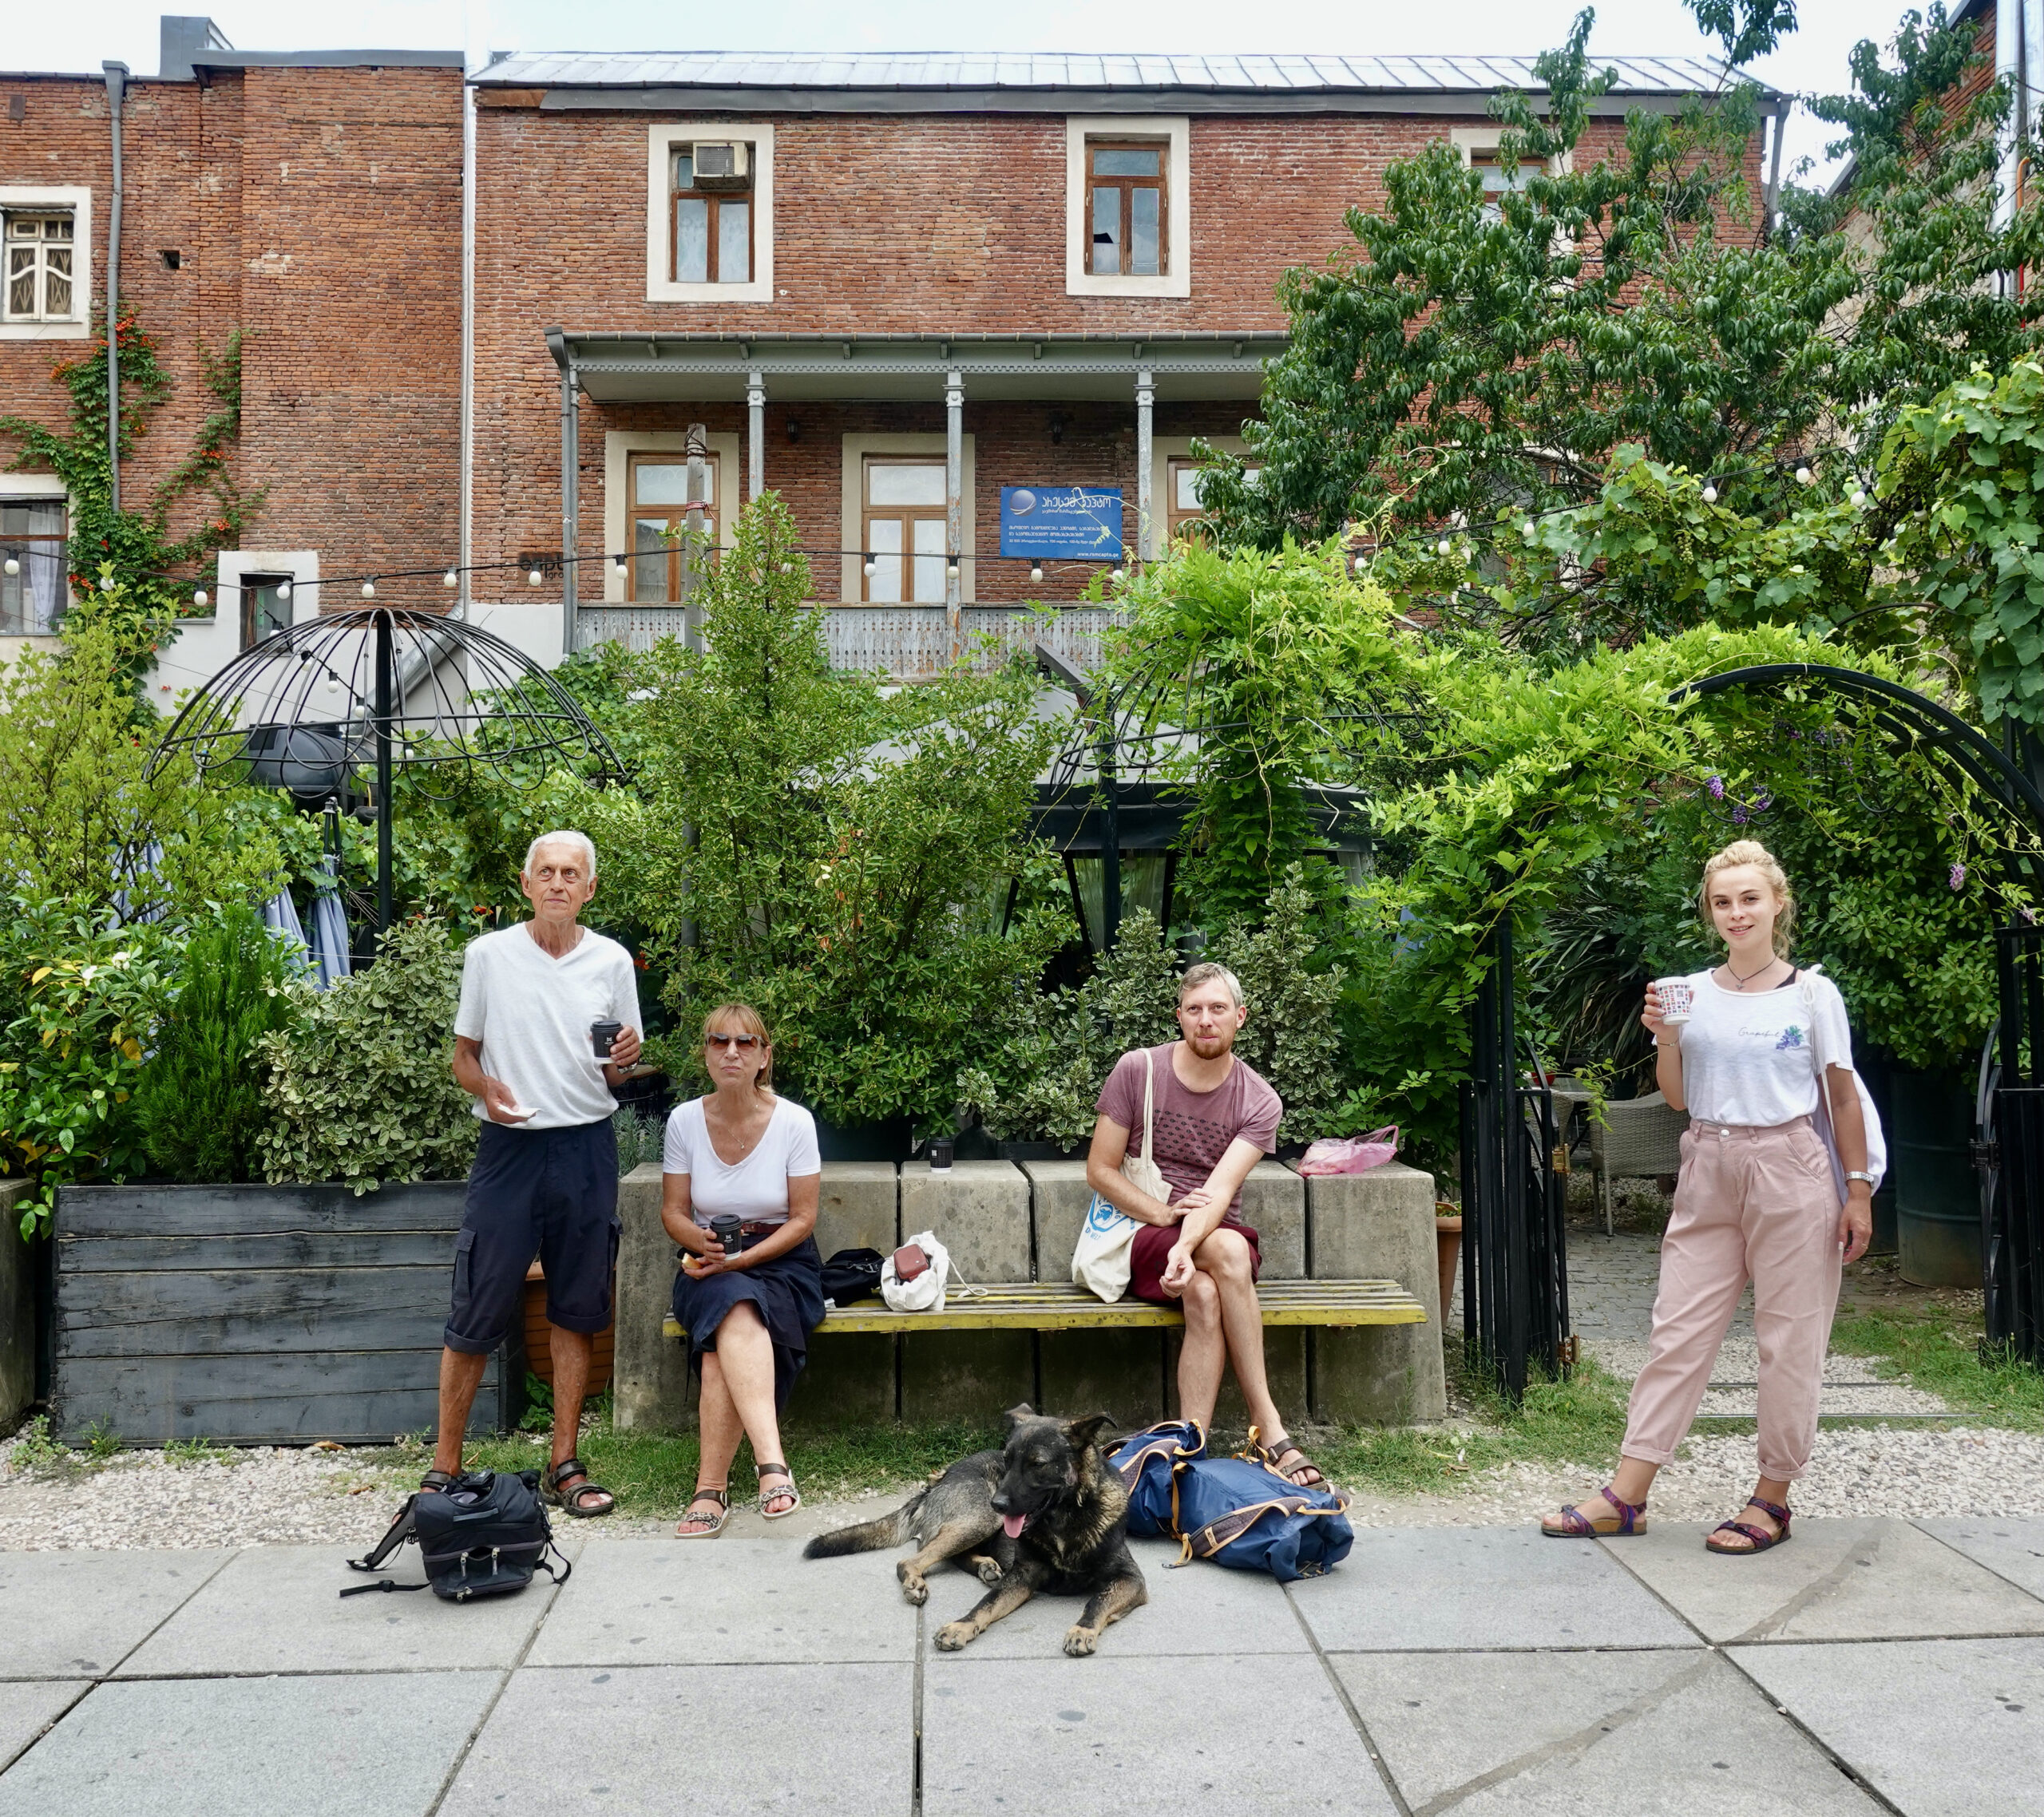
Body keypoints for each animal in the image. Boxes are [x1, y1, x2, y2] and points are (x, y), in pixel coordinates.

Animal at [801, 1406, 1152, 1659]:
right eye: (1008, 1461)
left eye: (1037, 1464)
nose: (998, 1502)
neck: (1064, 1519)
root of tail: (936, 1484)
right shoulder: (1023, 1575)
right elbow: (986, 1604)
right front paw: (962, 1625)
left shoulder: (1131, 1579)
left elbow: (1096, 1602)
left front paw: (1082, 1630)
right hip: (981, 1520)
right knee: (914, 1559)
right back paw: (919, 1581)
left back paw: (985, 1566)